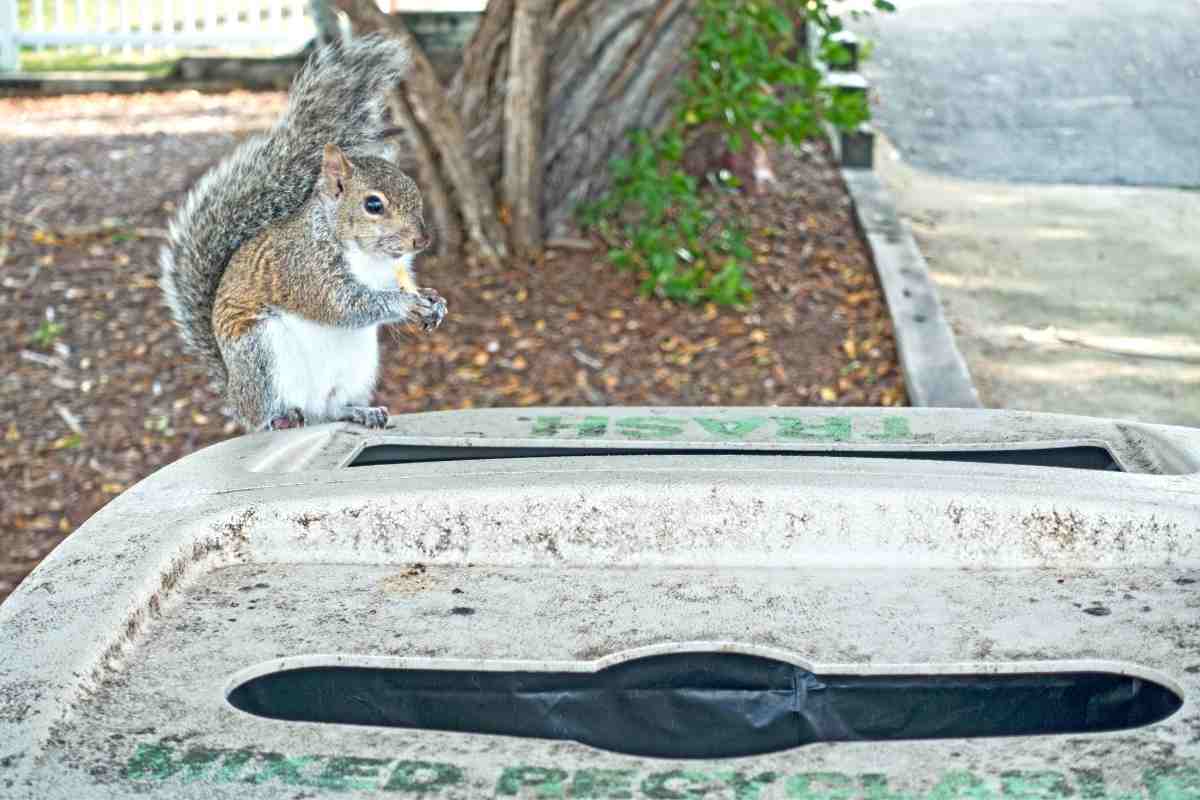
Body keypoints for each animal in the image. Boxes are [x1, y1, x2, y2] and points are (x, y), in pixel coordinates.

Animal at [160, 35, 447, 432]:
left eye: (415, 191)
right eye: (373, 204)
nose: (422, 241)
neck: (366, 255)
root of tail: (235, 393)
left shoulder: (395, 270)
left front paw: (435, 301)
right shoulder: (303, 268)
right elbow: (341, 304)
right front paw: (404, 305)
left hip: (356, 368)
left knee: (330, 410)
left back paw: (358, 411)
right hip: (261, 353)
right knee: (270, 412)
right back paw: (280, 418)